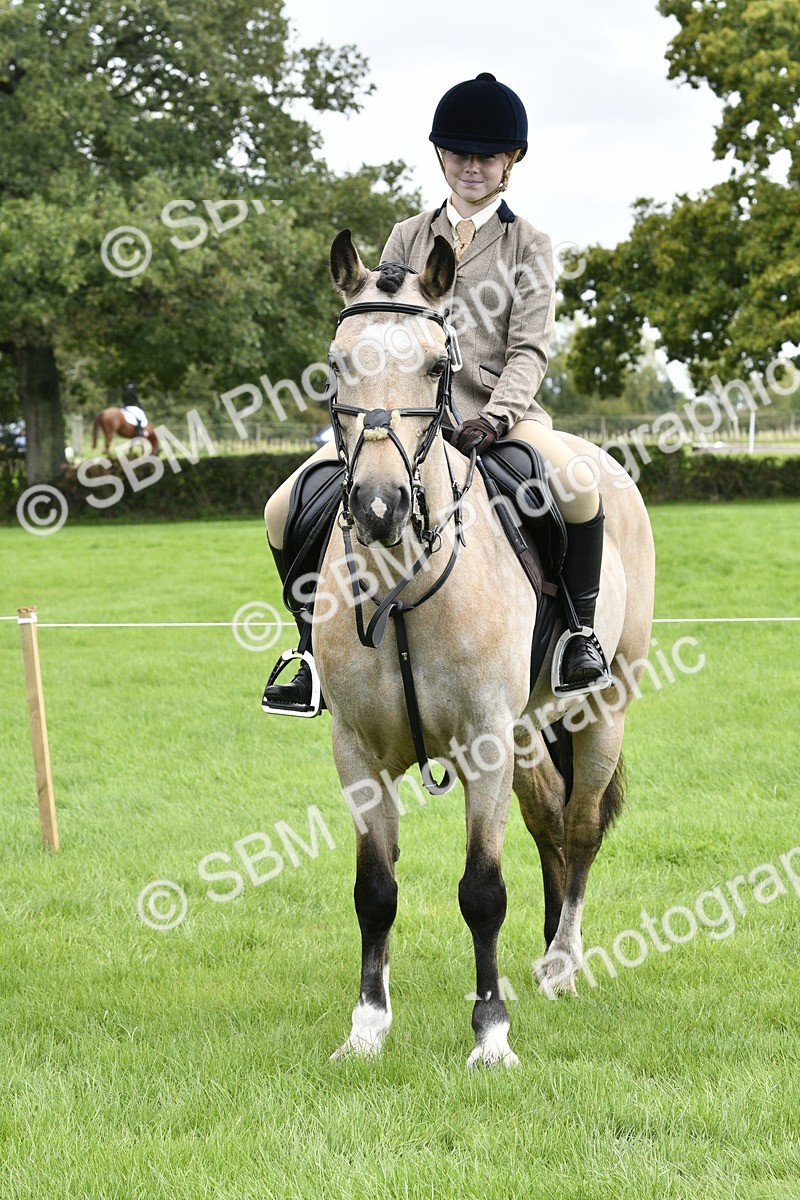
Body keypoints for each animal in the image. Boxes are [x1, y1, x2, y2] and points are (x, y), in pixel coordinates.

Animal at [311, 229, 655, 1068]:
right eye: (337, 364)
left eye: (440, 366)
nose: (378, 507)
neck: (403, 586)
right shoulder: (357, 751)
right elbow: (375, 892)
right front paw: (366, 1029)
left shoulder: (485, 742)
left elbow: (481, 891)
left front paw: (491, 1037)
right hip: (529, 732)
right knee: (548, 822)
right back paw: (548, 949)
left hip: (602, 709)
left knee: (581, 825)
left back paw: (563, 963)